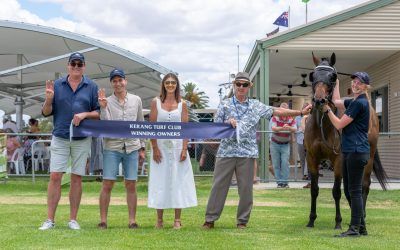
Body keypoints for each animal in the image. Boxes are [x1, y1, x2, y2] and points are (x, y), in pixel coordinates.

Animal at [304, 52, 388, 230]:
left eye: (333, 77)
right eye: (313, 75)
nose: (319, 101)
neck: (323, 126)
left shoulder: (338, 160)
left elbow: (336, 191)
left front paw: (338, 222)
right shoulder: (312, 158)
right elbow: (314, 189)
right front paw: (311, 220)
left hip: (368, 159)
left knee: (364, 185)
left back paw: (362, 216)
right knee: (352, 188)